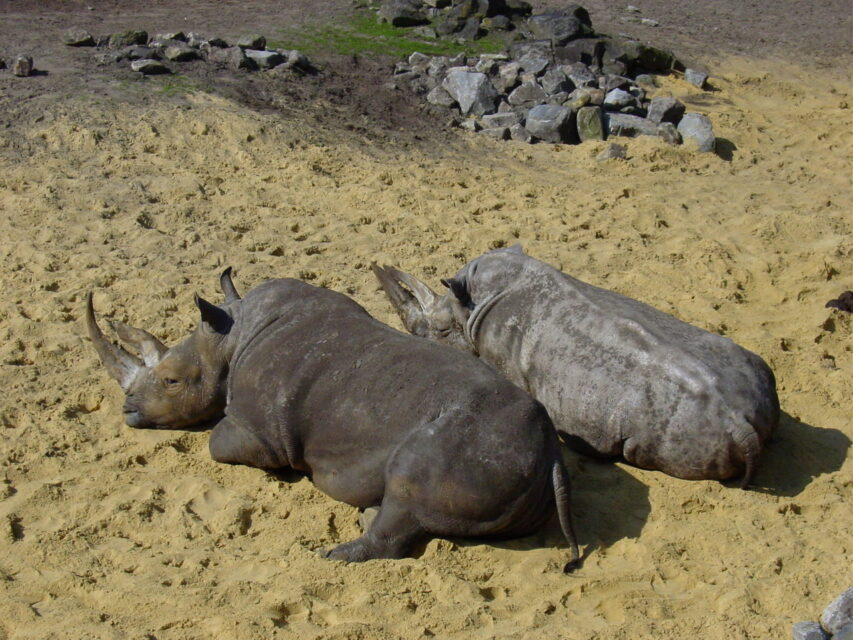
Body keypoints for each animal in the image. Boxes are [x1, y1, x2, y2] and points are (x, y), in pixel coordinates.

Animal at [87, 269, 580, 566]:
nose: (128, 409)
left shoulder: (263, 435)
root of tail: (551, 453)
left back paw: (336, 553)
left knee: (408, 482)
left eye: (171, 382)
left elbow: (217, 443)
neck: (230, 337)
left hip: (474, 443)